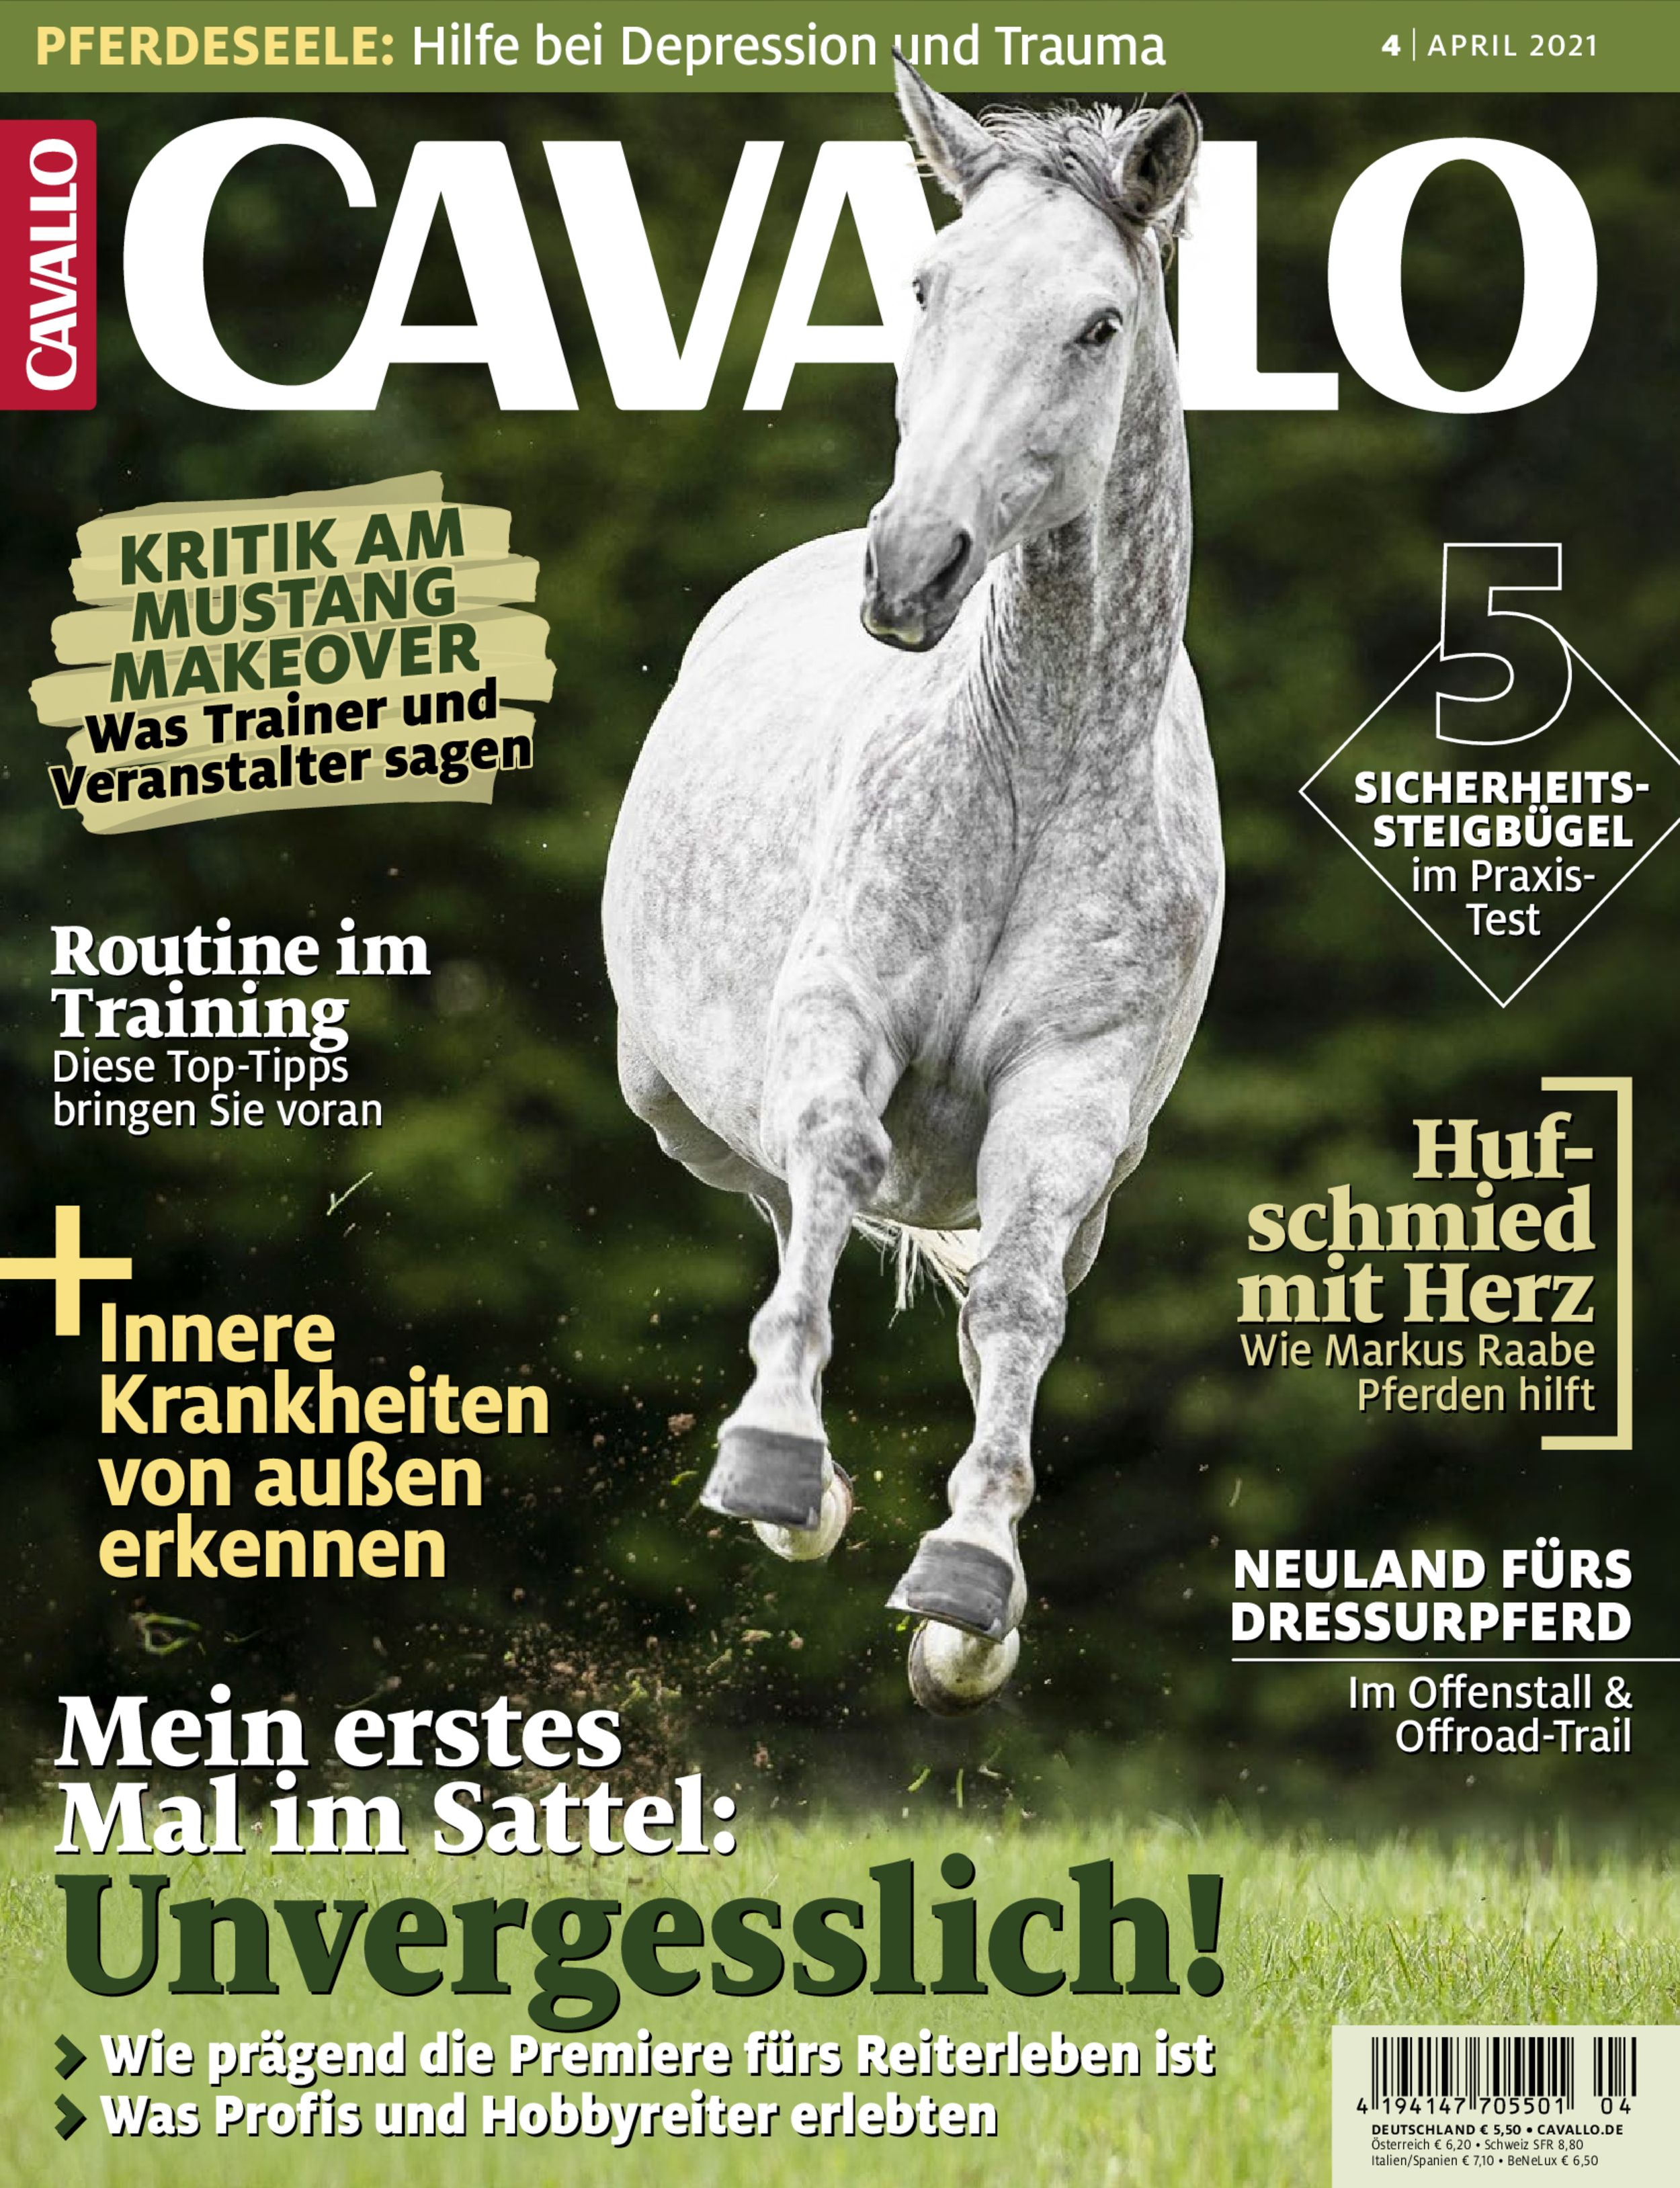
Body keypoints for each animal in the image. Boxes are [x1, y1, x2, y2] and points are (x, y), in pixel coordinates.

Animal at [602, 60, 1223, 1714]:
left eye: (1099, 324)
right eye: (929, 284)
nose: (912, 569)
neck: (1027, 766)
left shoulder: (1068, 1100)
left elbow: (1015, 1305)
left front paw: (964, 1590)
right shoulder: (840, 1006)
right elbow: (828, 1157)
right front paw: (774, 1464)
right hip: (671, 1097)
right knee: (787, 1188)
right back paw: (802, 1490)